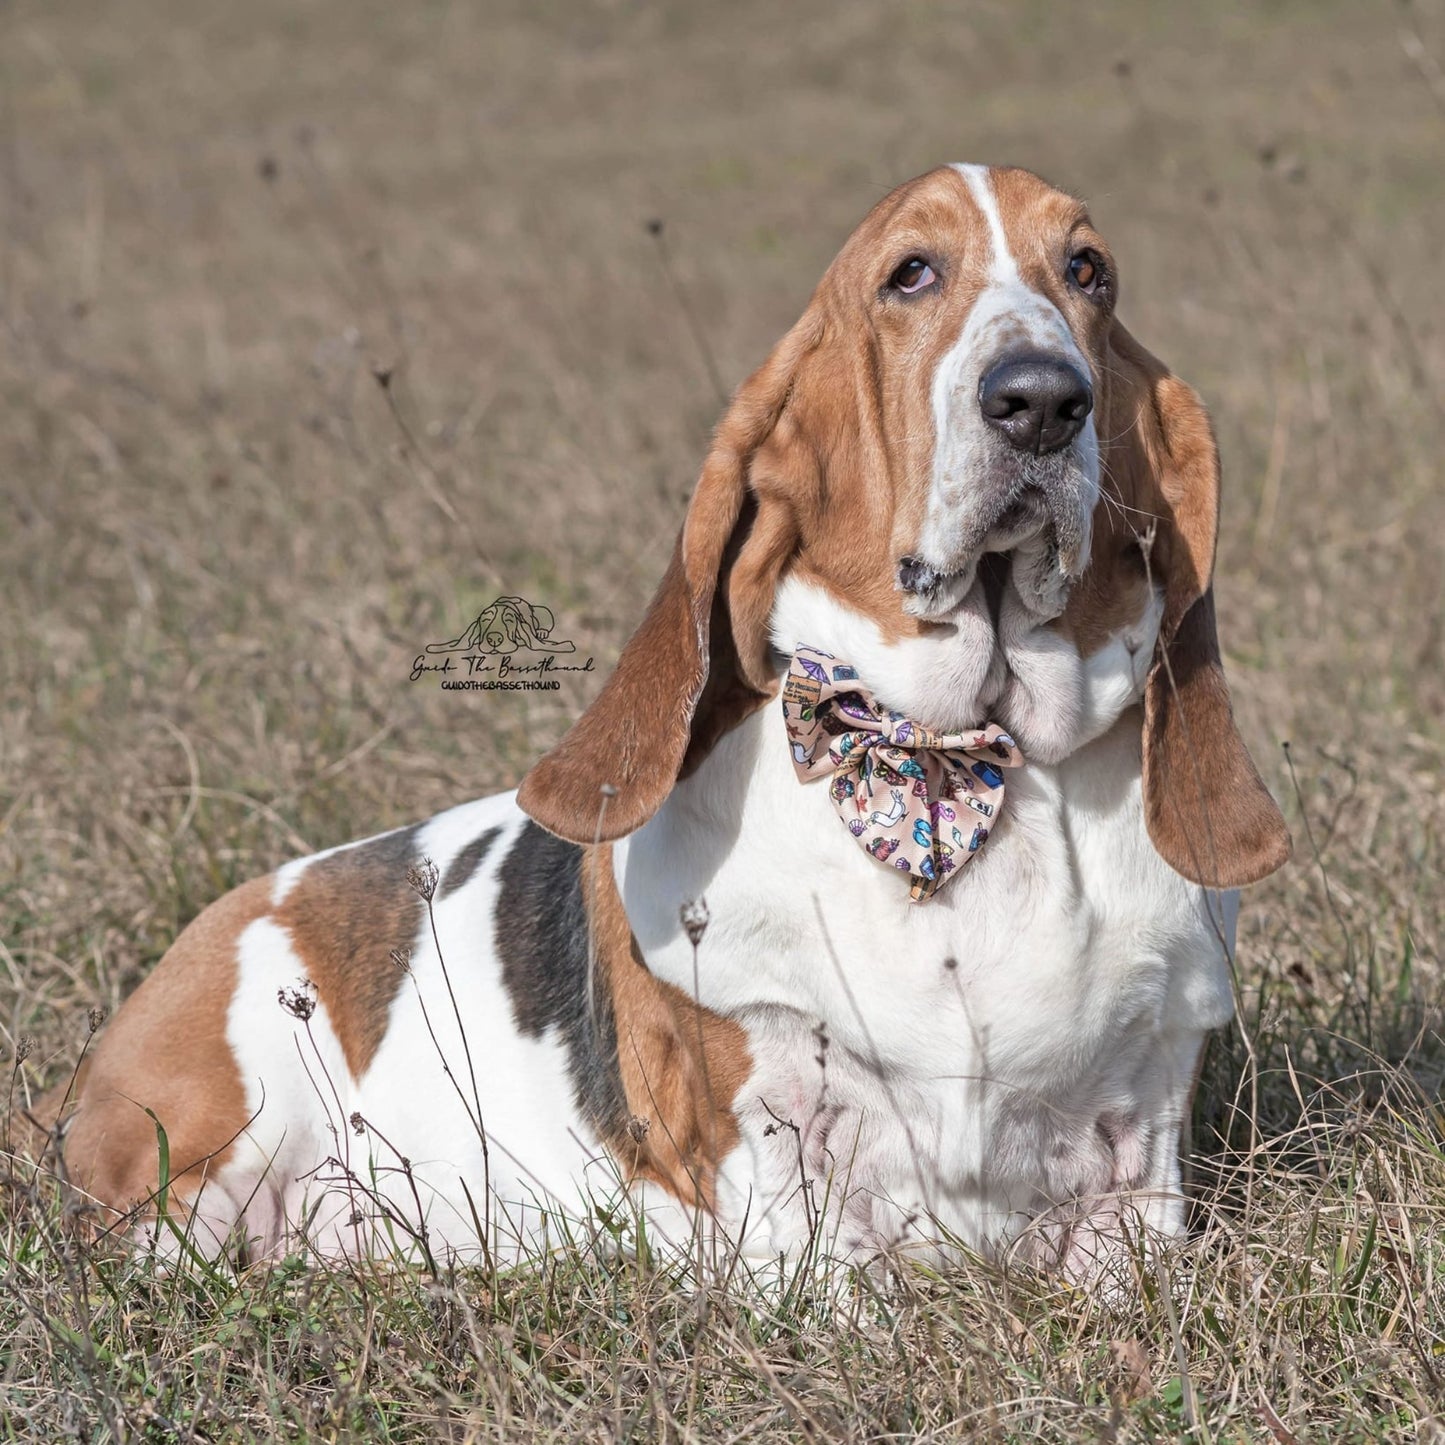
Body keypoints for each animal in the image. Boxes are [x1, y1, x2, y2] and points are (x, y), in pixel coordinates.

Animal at [22, 164, 1288, 1283]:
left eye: (1088, 271)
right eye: (910, 274)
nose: (1040, 398)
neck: (943, 768)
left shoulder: (1144, 1135)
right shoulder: (775, 1159)